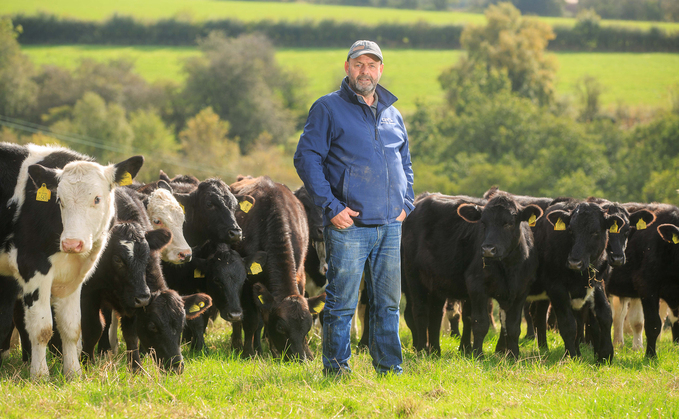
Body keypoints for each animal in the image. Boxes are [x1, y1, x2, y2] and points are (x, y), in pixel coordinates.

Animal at [0, 143, 143, 378]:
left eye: (97, 199)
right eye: (59, 200)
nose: (71, 243)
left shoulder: (74, 279)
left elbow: (72, 327)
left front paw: (73, 373)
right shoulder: (33, 269)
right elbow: (42, 329)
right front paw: (40, 374)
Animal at [230, 176, 326, 360]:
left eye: (307, 327)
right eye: (281, 327)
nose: (299, 358)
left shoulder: (300, 275)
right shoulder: (247, 282)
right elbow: (252, 321)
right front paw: (248, 353)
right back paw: (237, 344)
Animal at [404, 192, 540, 360]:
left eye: (508, 223)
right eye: (483, 223)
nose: (488, 249)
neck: (507, 267)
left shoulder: (521, 291)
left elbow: (513, 326)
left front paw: (514, 356)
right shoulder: (477, 286)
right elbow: (480, 323)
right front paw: (478, 354)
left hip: (435, 283)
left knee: (435, 315)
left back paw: (435, 351)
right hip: (414, 278)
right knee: (420, 313)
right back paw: (422, 350)